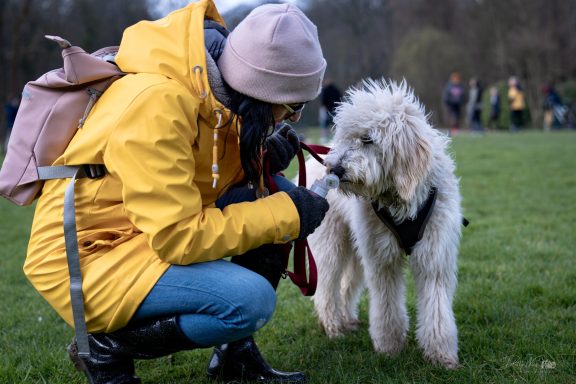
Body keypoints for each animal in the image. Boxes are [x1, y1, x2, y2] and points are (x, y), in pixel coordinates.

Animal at [306, 78, 464, 368]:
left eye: (368, 139)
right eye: (347, 136)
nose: (335, 169)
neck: (400, 197)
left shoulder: (434, 255)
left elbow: (436, 307)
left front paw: (441, 356)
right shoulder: (382, 258)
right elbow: (386, 304)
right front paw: (389, 347)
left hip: (357, 247)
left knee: (346, 285)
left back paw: (348, 321)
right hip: (332, 243)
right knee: (326, 288)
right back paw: (333, 325)